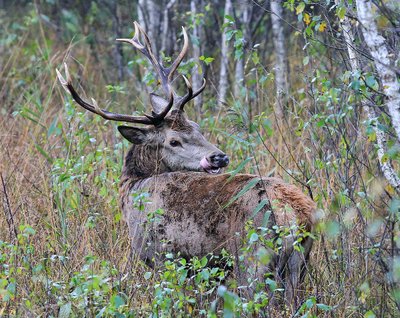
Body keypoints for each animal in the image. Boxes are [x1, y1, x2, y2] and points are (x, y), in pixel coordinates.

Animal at [56, 21, 318, 308]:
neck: (131, 189)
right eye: (175, 140)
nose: (219, 157)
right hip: (300, 264)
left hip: (252, 259)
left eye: (196, 127)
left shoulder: (161, 254)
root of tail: (297, 217)